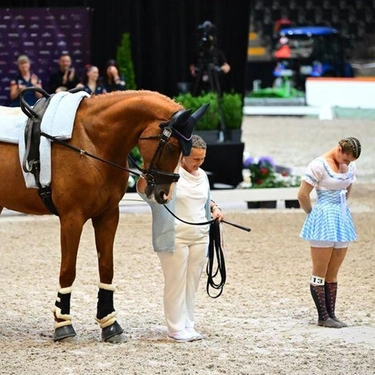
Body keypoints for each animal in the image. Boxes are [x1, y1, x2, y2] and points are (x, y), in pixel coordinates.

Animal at [0, 89, 209, 344]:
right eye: (170, 147)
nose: (163, 194)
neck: (93, 142)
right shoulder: (72, 218)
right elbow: (68, 270)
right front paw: (63, 326)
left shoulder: (108, 215)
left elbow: (107, 267)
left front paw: (110, 324)